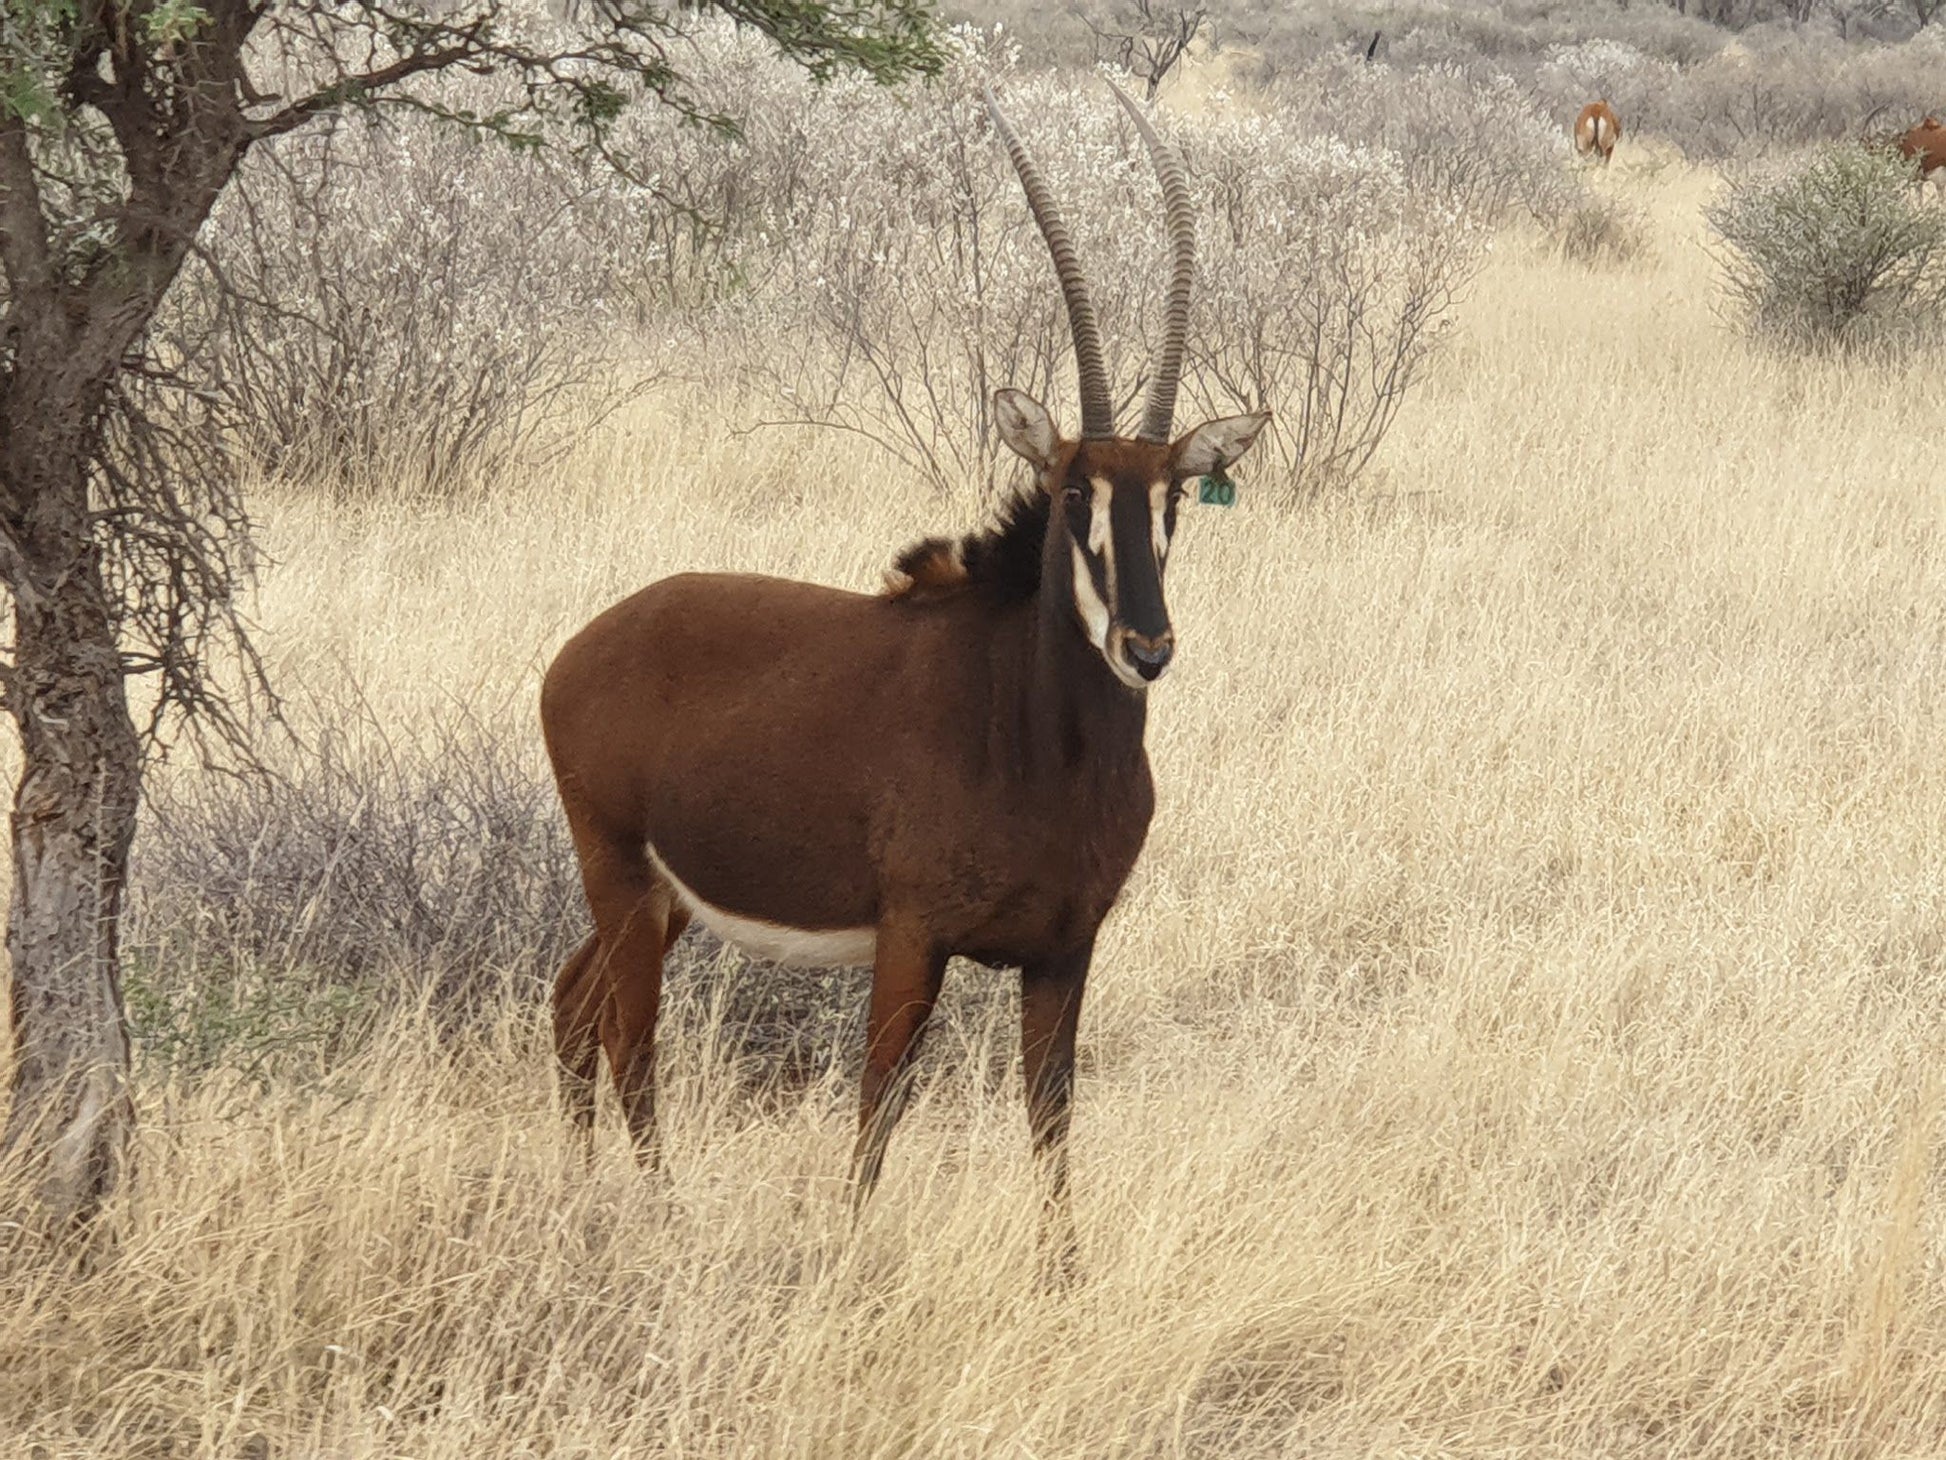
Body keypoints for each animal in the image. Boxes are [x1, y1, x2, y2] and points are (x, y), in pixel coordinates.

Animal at [540, 82, 1268, 1269]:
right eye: (1072, 490)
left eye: (1171, 500)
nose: (1147, 649)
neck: (1042, 747)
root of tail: (584, 647)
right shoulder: (912, 938)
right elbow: (877, 1104)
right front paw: (845, 1255)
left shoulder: (1064, 950)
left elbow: (1051, 1114)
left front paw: (1061, 1277)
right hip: (618, 870)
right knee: (628, 1034)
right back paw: (655, 1214)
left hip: (666, 895)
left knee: (572, 998)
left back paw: (586, 1190)